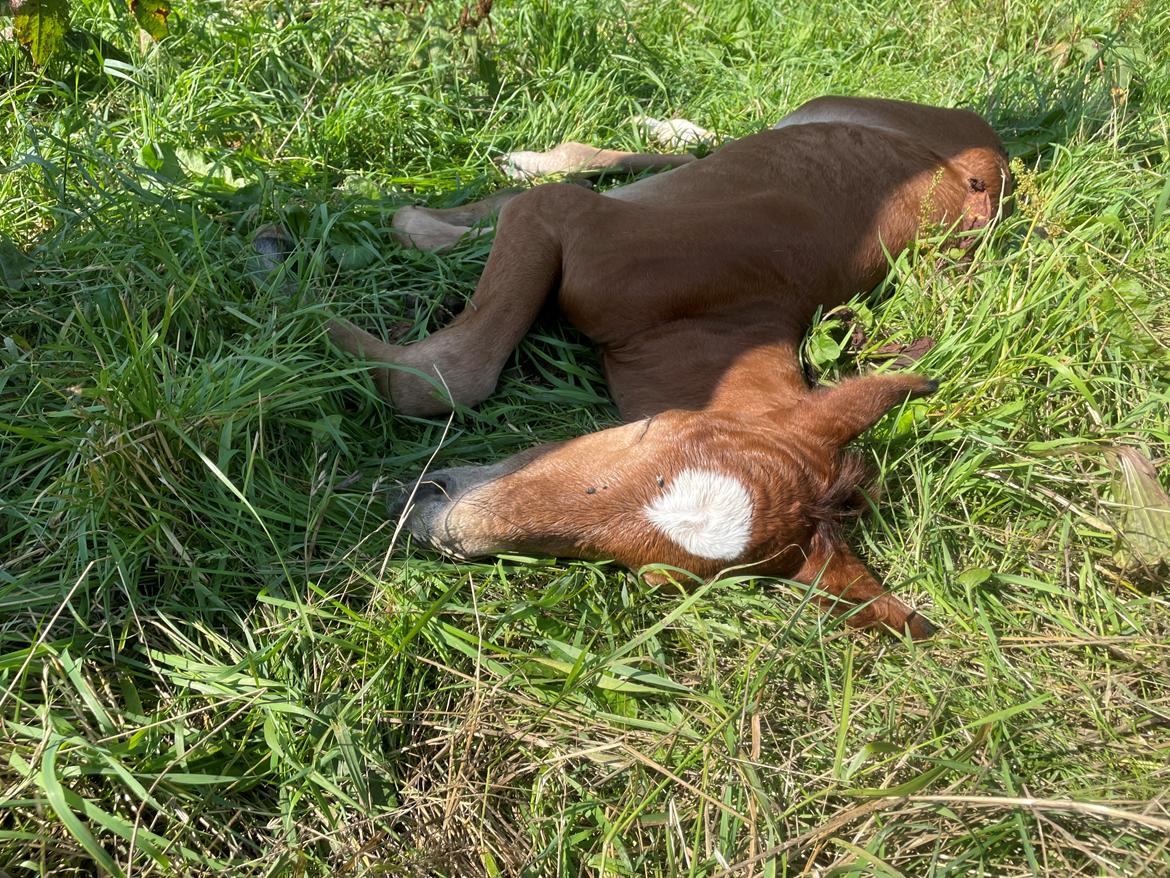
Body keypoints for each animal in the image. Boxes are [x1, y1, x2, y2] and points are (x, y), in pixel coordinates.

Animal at [308, 95, 1006, 641]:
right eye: (652, 431)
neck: (704, 317)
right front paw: (312, 308)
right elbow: (454, 370)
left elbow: (442, 376)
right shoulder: (563, 219)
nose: (428, 520)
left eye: (656, 579)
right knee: (656, 162)